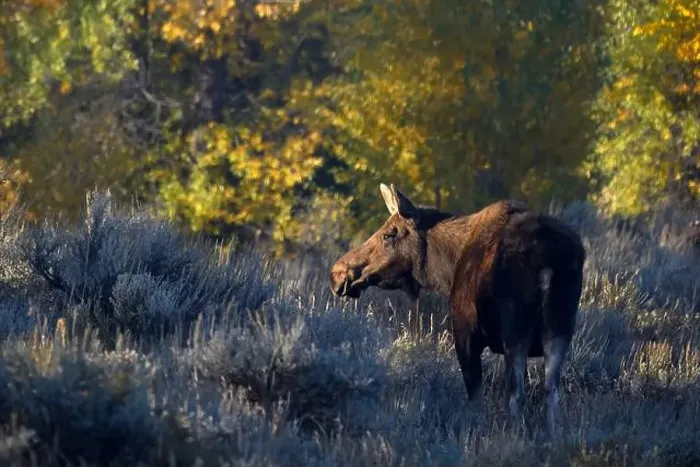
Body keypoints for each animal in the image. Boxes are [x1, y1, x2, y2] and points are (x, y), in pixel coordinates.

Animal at [329, 184, 586, 434]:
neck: (446, 268)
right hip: (560, 329)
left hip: (516, 330)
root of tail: (548, 260)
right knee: (551, 394)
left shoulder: (465, 333)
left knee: (516, 397)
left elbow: (475, 397)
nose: (337, 272)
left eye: (388, 234)